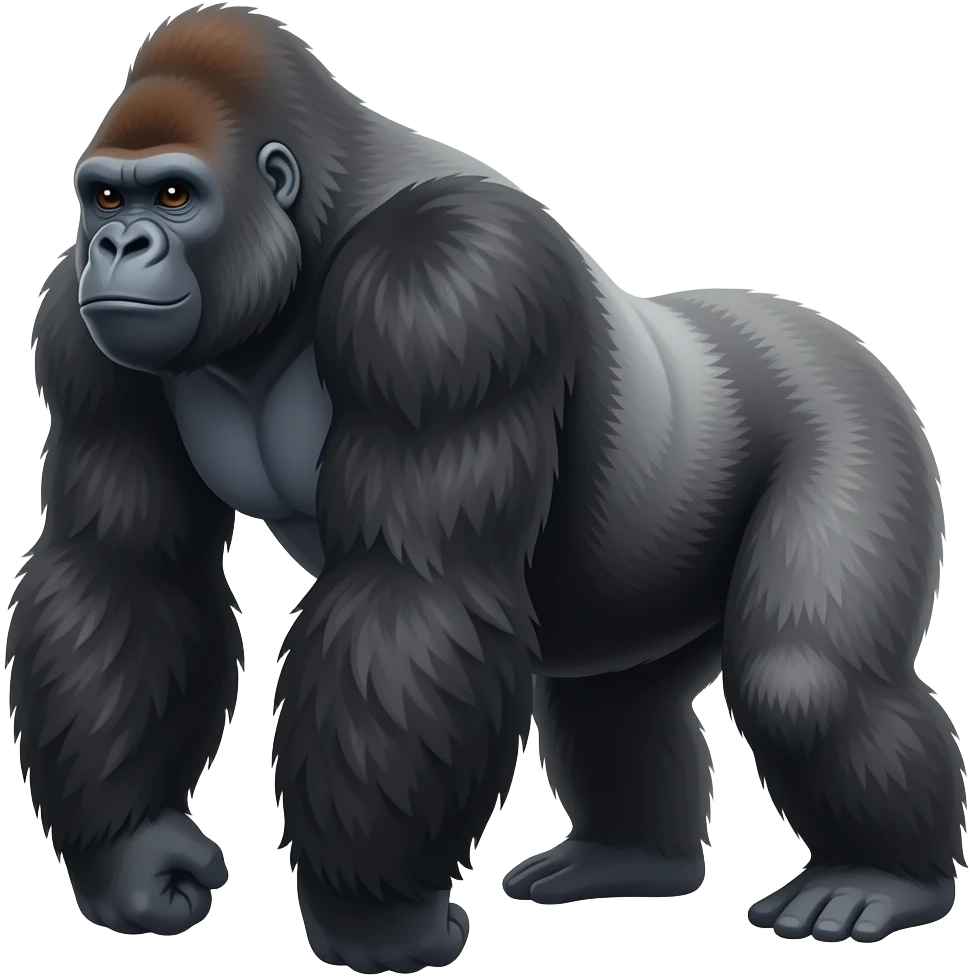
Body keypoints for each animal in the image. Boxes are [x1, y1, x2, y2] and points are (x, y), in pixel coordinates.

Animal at [8, 3, 965, 971]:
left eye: (174, 196)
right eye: (105, 198)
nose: (118, 245)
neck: (311, 229)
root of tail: (822, 328)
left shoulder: (446, 287)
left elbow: (413, 591)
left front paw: (374, 920)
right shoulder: (78, 331)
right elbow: (122, 568)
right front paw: (134, 852)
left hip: (856, 415)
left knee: (803, 680)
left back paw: (886, 878)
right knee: (614, 701)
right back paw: (631, 858)